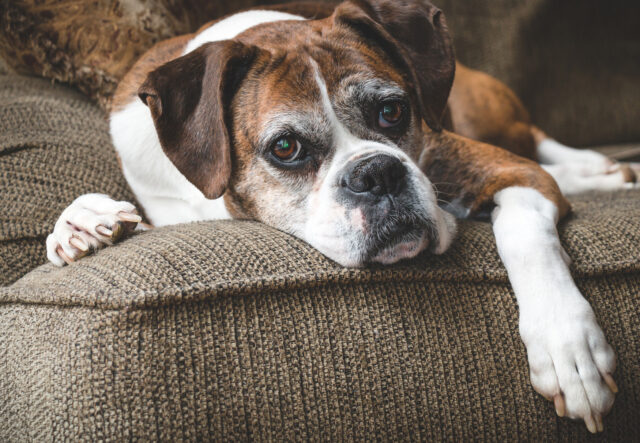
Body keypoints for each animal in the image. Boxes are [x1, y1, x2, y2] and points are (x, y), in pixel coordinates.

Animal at [45, 0, 636, 432]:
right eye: (285, 147)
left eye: (392, 111)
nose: (377, 173)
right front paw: (82, 225)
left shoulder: (512, 173)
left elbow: (525, 235)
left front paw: (566, 346)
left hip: (490, 119)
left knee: (537, 141)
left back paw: (603, 171)